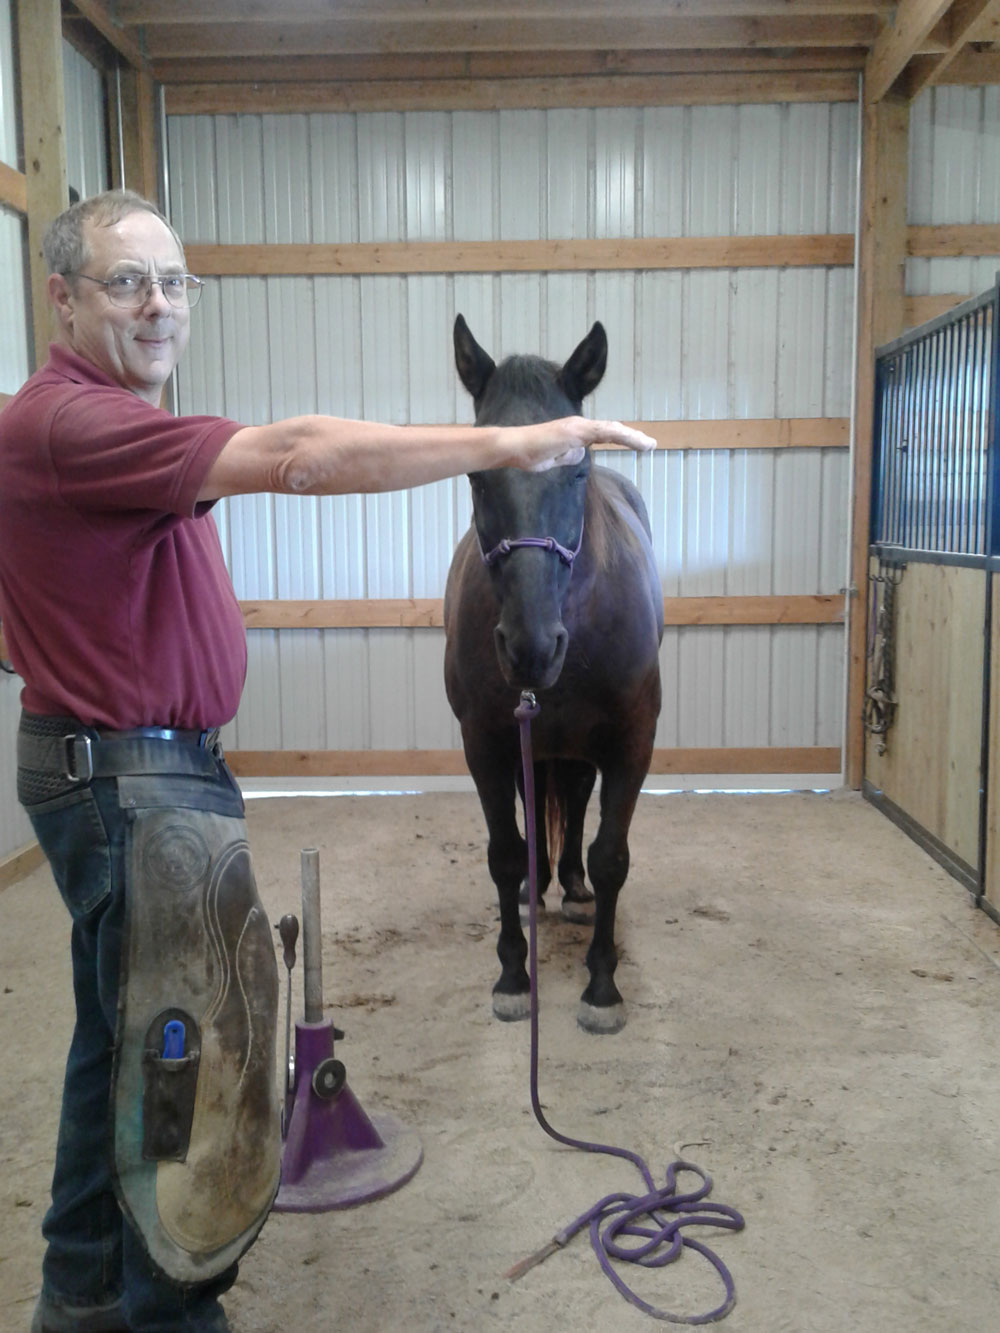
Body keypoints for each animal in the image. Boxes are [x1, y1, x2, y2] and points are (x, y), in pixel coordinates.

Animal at [443, 316, 663, 1034]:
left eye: (578, 469)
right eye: (476, 474)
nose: (532, 648)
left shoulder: (632, 740)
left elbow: (611, 854)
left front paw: (602, 985)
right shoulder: (485, 741)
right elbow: (505, 850)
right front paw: (513, 975)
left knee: (575, 797)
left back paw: (570, 887)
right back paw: (540, 886)